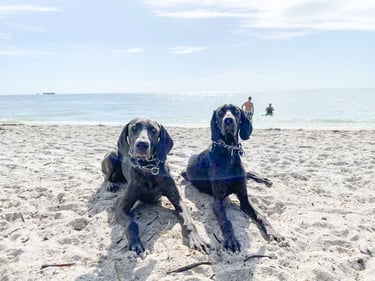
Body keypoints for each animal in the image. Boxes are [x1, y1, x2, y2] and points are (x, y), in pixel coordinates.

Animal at [102, 117, 209, 255]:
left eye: (153, 130)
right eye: (134, 128)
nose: (142, 144)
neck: (148, 169)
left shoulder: (179, 201)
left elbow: (189, 222)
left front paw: (196, 239)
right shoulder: (121, 208)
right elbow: (131, 224)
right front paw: (135, 242)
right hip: (111, 155)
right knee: (106, 176)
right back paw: (110, 184)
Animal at [182, 103, 282, 252]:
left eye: (235, 111)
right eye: (220, 112)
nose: (228, 120)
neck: (229, 151)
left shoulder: (244, 197)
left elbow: (261, 215)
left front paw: (273, 232)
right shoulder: (217, 201)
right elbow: (226, 221)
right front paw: (231, 239)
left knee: (248, 173)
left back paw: (264, 179)